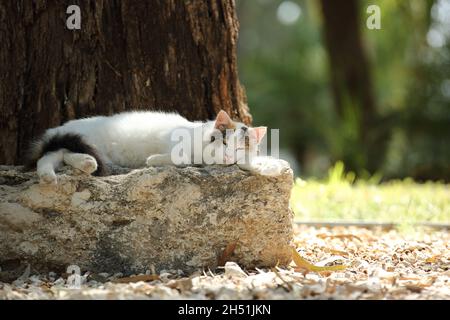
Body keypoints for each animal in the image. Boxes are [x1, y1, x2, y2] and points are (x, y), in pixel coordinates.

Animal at [26, 110, 290, 184]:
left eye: (238, 149)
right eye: (224, 141)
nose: (226, 156)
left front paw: (270, 165)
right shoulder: (177, 141)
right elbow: (180, 157)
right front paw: (154, 159)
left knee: (60, 156)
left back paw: (85, 163)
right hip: (75, 138)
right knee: (46, 156)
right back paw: (51, 175)